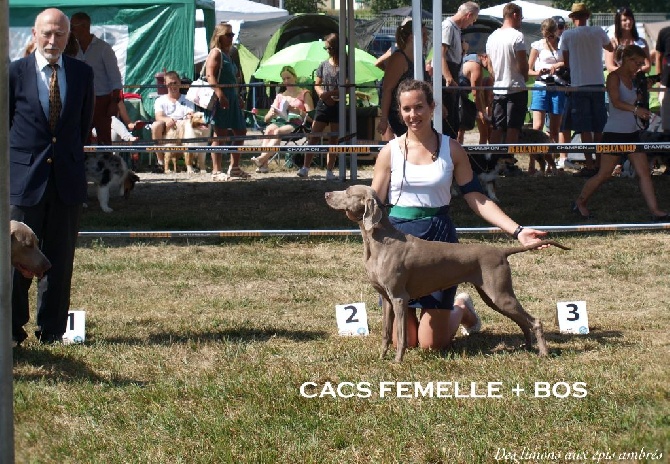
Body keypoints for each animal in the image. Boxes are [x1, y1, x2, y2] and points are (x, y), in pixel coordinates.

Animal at [326, 185, 572, 362]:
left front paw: (397, 361)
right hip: (493, 296)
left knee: (534, 321)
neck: (380, 241)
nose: (327, 193)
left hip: (499, 294)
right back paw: (528, 347)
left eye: (348, 192)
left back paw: (543, 353)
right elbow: (388, 333)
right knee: (522, 321)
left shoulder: (399, 298)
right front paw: (381, 357)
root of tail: (501, 250)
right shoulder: (387, 299)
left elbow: (402, 335)